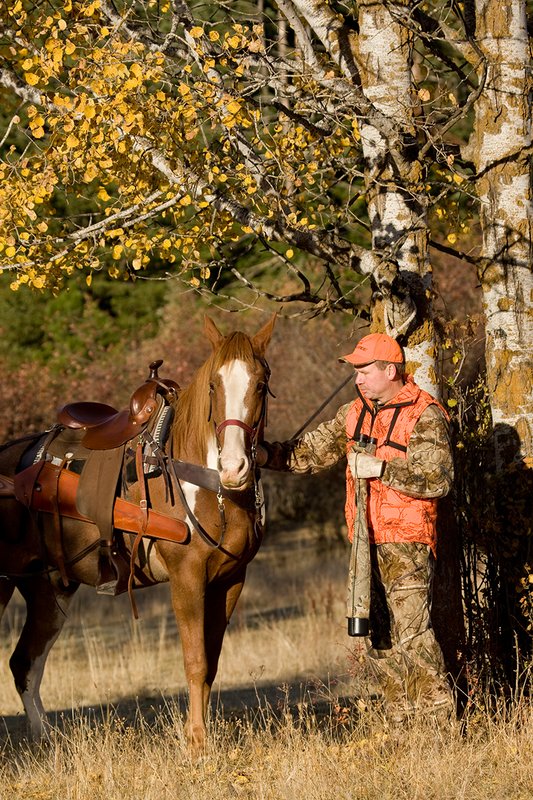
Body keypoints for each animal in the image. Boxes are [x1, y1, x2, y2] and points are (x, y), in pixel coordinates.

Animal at [0, 313, 276, 752]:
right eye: (213, 386)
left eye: (261, 385)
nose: (235, 468)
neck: (207, 484)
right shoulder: (186, 578)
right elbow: (195, 661)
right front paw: (197, 744)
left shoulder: (231, 580)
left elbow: (211, 663)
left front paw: (204, 736)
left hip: (48, 589)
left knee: (25, 663)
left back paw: (48, 743)